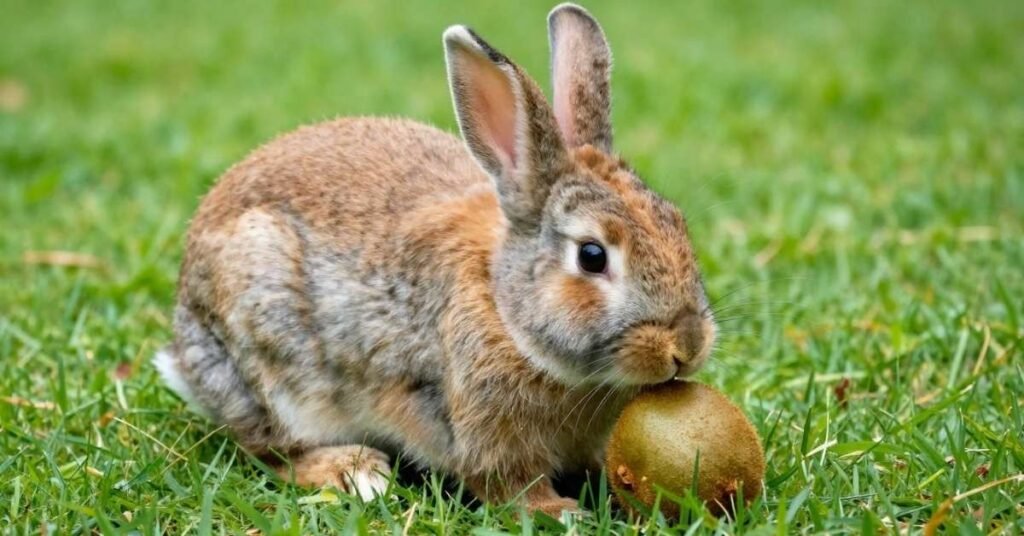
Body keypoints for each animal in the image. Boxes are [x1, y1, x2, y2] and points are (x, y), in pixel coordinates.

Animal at [154, 3, 716, 517]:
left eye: (677, 222)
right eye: (593, 256)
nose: (686, 345)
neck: (505, 309)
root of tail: (185, 351)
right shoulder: (482, 431)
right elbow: (507, 485)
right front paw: (560, 512)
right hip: (266, 353)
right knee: (270, 448)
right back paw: (355, 472)